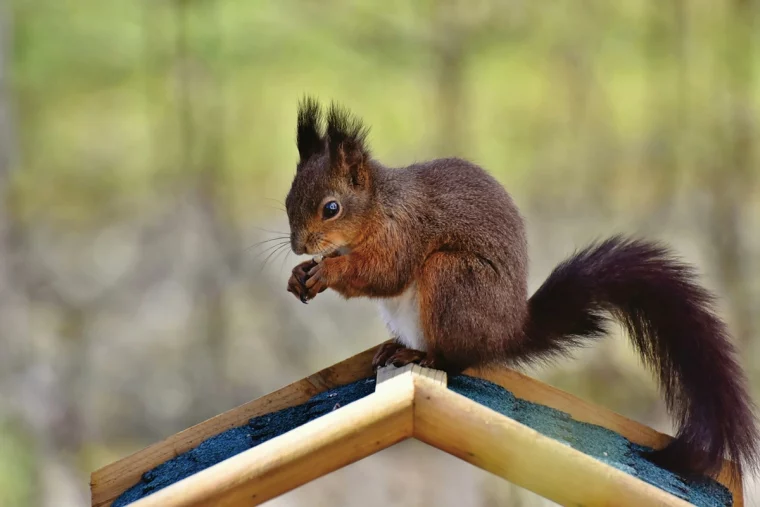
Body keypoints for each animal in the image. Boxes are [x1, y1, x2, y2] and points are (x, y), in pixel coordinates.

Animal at [284, 96, 756, 480]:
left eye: (331, 208)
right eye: (289, 200)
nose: (298, 246)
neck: (380, 205)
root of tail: (508, 331)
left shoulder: (404, 233)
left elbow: (386, 273)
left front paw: (328, 272)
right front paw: (300, 274)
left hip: (452, 278)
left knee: (457, 359)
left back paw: (421, 355)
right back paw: (393, 347)